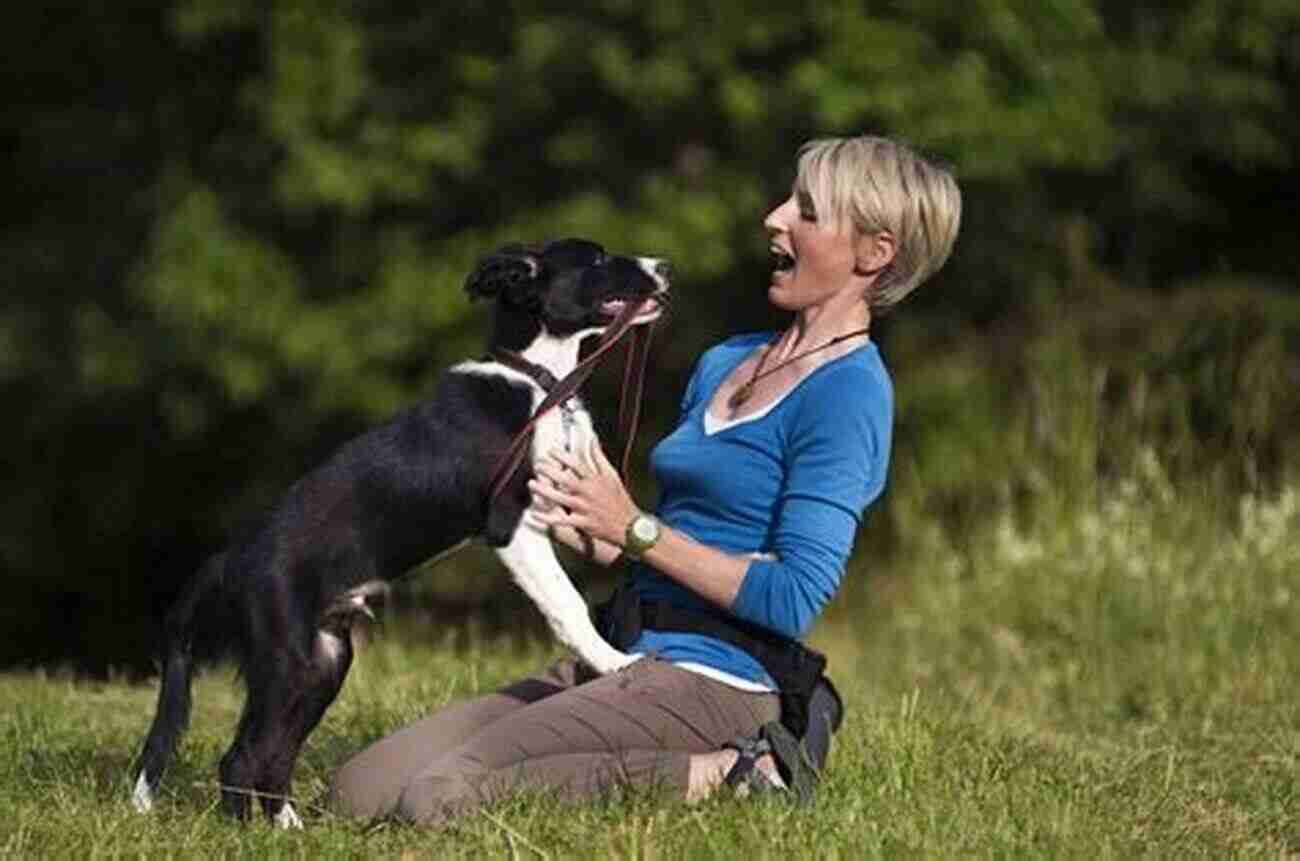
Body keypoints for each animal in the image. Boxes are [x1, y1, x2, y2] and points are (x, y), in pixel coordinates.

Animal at [130, 238, 670, 832]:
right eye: (595, 260)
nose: (663, 267)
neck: (537, 379)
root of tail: (231, 557)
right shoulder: (513, 527)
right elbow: (568, 604)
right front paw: (615, 663)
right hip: (286, 656)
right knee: (242, 756)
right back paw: (250, 834)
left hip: (324, 661)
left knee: (273, 754)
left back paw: (291, 831)